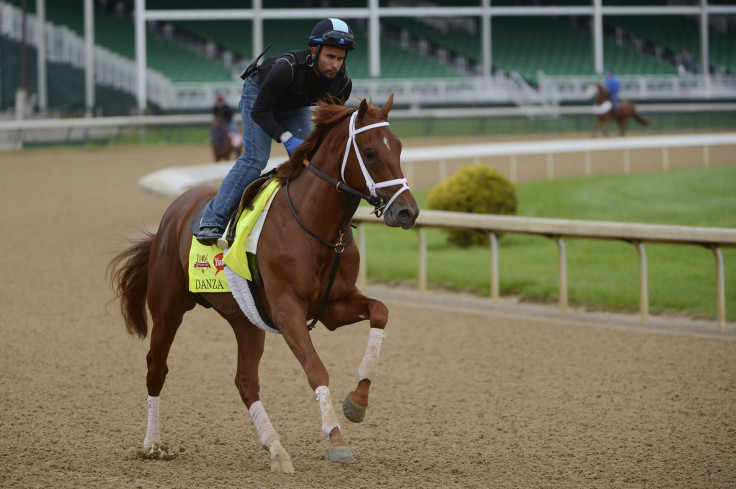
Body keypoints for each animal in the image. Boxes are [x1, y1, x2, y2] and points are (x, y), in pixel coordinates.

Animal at [108, 95, 420, 472]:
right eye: (371, 152)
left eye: (398, 147)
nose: (407, 212)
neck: (315, 225)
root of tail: (173, 213)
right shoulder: (288, 311)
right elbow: (316, 369)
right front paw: (336, 439)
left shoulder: (334, 304)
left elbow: (381, 311)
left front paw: (357, 402)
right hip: (168, 307)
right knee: (157, 367)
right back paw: (153, 444)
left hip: (245, 321)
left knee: (245, 381)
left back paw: (277, 449)